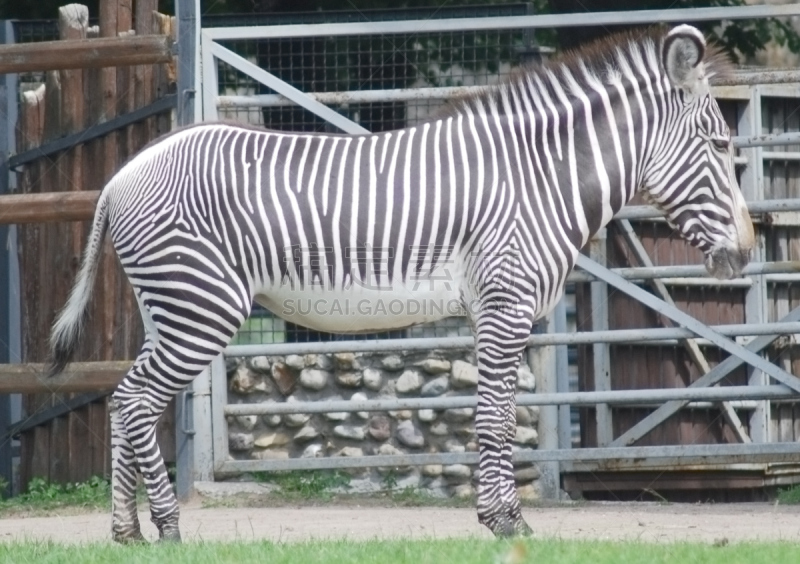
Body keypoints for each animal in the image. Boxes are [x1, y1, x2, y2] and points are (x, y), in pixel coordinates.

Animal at [48, 26, 752, 540]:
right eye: (719, 145)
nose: (744, 254)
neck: (538, 178)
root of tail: (121, 176)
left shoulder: (492, 311)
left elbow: (494, 414)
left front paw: (497, 516)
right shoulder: (505, 302)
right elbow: (494, 417)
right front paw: (508, 524)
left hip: (166, 307)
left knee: (122, 402)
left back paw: (126, 534)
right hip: (201, 306)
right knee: (136, 401)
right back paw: (166, 528)